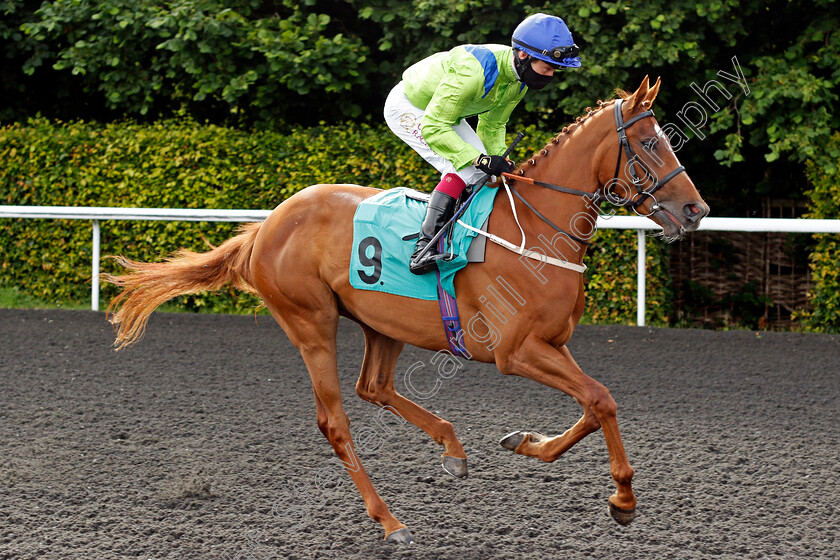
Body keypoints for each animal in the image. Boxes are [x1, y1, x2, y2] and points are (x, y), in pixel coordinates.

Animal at [105, 76, 708, 544]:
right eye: (649, 144)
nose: (696, 211)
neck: (536, 232)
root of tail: (268, 225)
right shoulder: (515, 352)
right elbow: (601, 400)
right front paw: (623, 499)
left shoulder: (554, 344)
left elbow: (592, 404)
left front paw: (527, 443)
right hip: (311, 324)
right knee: (335, 421)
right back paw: (389, 520)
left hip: (381, 324)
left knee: (374, 387)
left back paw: (451, 447)